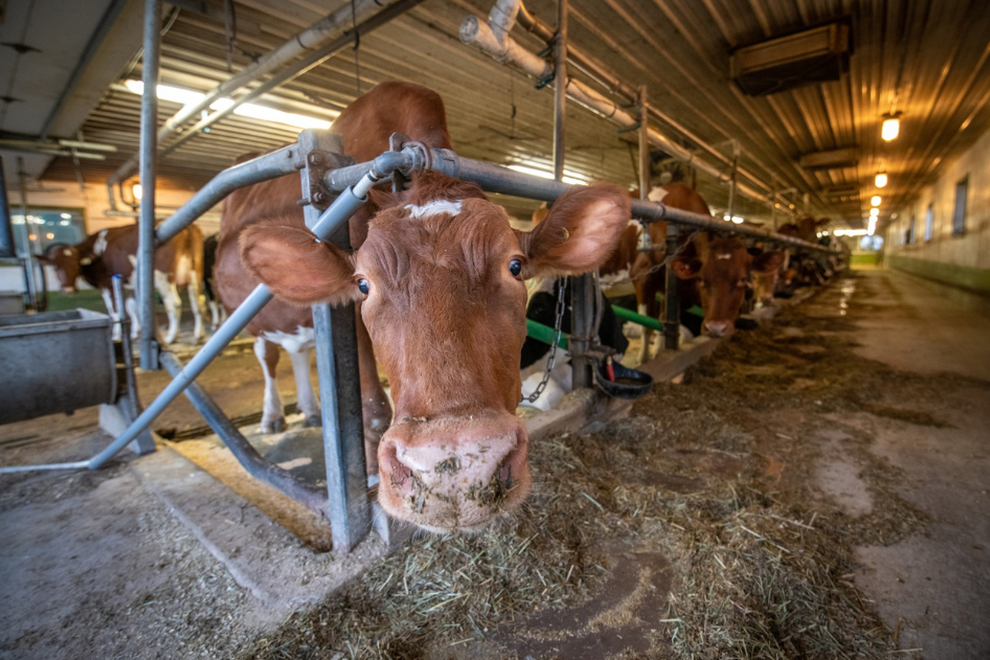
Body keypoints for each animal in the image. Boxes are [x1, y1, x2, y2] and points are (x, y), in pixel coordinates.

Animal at [39, 224, 207, 342]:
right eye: (55, 266)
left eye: (75, 265)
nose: (68, 290)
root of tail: (190, 228)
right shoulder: (131, 285)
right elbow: (132, 307)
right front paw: (136, 332)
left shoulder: (107, 283)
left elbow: (114, 310)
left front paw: (116, 336)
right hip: (195, 274)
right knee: (198, 302)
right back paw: (198, 334)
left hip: (163, 277)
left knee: (174, 304)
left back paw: (171, 337)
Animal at [222, 82, 632, 532]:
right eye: (363, 285)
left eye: (515, 267)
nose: (452, 467)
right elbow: (373, 411)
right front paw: (370, 480)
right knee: (268, 354)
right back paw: (273, 417)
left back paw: (311, 411)